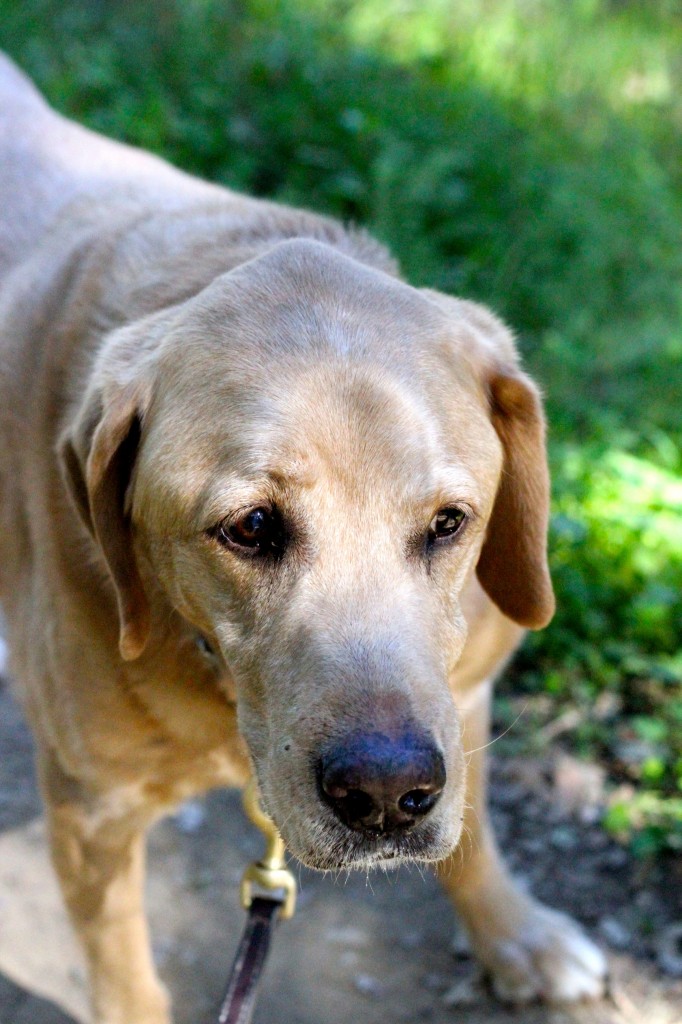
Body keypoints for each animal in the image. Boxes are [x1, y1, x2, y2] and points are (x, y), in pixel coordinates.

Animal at [0, 54, 606, 1015]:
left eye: (449, 523)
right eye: (250, 527)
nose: (389, 793)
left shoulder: (463, 696)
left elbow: (474, 836)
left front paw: (517, 935)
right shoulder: (92, 812)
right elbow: (125, 975)